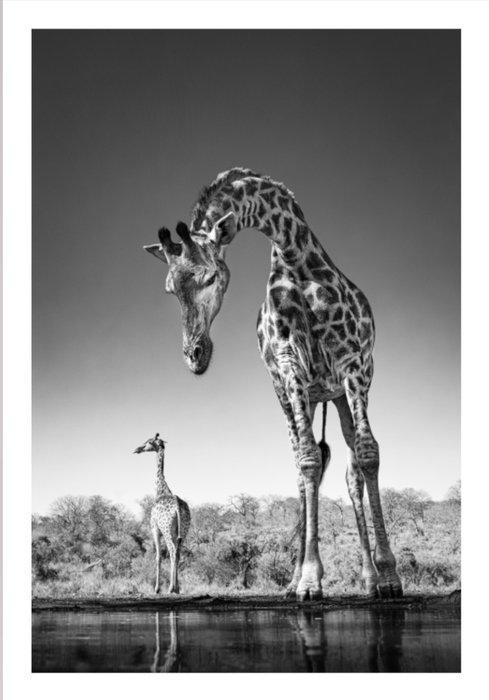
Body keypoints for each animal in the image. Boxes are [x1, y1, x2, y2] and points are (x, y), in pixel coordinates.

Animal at [133, 433, 191, 594]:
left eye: (148, 442)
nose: (137, 449)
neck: (161, 489)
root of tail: (177, 505)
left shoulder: (154, 528)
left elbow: (158, 556)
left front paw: (157, 588)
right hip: (183, 530)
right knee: (178, 552)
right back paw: (176, 588)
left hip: (166, 528)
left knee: (171, 550)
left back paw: (171, 588)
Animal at [144, 167, 402, 600]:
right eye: (169, 289)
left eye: (210, 277)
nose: (195, 356)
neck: (295, 254)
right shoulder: (289, 365)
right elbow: (309, 460)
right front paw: (310, 581)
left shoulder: (354, 364)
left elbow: (368, 455)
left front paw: (389, 576)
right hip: (293, 396)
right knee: (301, 467)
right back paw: (296, 579)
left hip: (338, 394)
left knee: (351, 470)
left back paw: (369, 579)